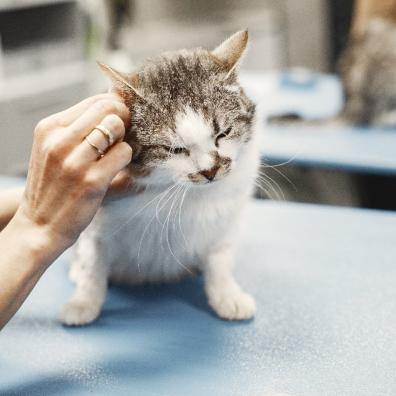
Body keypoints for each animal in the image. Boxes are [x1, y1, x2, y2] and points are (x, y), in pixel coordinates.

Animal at [61, 31, 260, 326]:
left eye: (223, 134)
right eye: (175, 149)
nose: (210, 171)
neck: (180, 193)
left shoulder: (224, 222)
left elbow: (219, 259)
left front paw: (227, 295)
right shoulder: (95, 223)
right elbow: (93, 264)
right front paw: (84, 301)